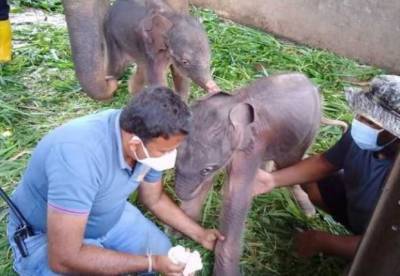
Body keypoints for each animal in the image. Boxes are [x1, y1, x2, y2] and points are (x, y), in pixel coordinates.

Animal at [174, 72, 322, 274]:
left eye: (206, 169)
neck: (233, 103)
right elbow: (204, 187)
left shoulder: (249, 152)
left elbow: (235, 202)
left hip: (309, 128)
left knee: (291, 162)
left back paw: (308, 213)